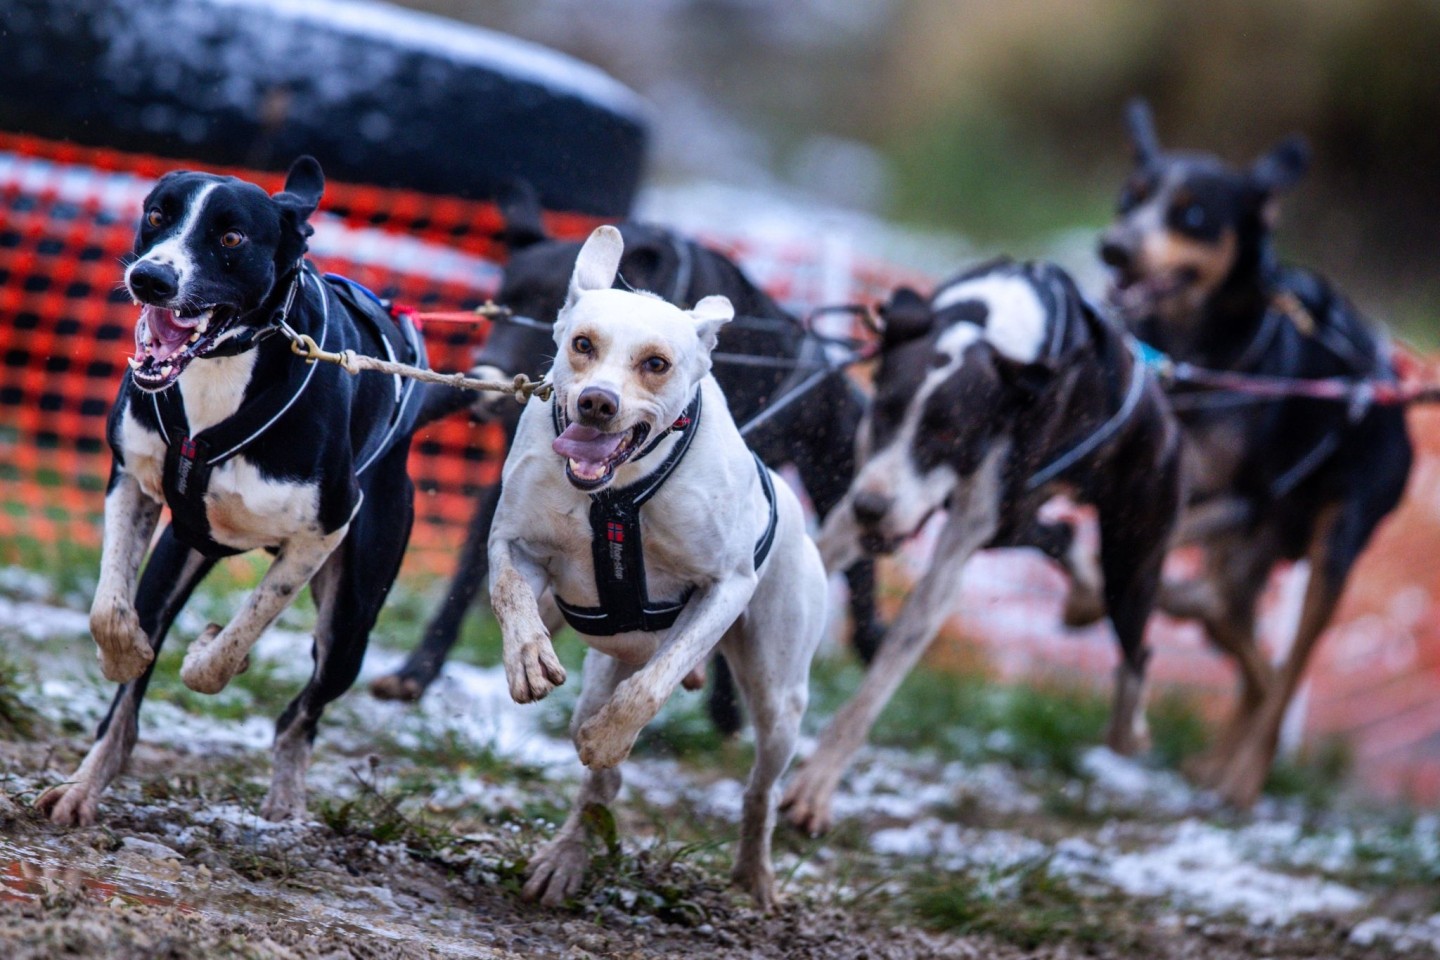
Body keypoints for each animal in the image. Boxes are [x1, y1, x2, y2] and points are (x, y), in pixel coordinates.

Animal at [36, 156, 423, 829]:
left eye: (233, 238)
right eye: (157, 215)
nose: (150, 278)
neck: (221, 373)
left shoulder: (324, 531)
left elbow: (243, 629)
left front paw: (210, 656)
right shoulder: (132, 480)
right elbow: (110, 611)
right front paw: (122, 655)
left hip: (351, 621)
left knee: (303, 711)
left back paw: (287, 798)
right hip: (180, 551)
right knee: (128, 706)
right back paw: (85, 784)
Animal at [486, 225, 829, 909]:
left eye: (656, 363)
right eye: (583, 344)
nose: (597, 403)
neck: (617, 495)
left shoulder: (726, 587)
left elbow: (654, 684)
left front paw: (610, 737)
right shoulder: (515, 541)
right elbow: (510, 591)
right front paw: (529, 660)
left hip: (779, 697)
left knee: (761, 789)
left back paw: (755, 873)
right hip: (605, 668)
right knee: (601, 786)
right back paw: (566, 857)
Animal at [789, 259, 1180, 834]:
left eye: (946, 435)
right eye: (884, 412)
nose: (871, 507)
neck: (986, 326)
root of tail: (1162, 407)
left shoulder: (950, 560)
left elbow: (873, 691)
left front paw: (815, 787)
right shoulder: (857, 499)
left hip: (1131, 557)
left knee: (1138, 648)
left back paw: (1127, 731)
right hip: (1014, 518)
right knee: (1057, 535)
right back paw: (1084, 592)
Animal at [1094, 103, 1411, 811]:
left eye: (1192, 215)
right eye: (1128, 198)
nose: (1114, 247)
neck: (1197, 361)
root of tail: (1392, 385)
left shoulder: (1240, 498)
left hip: (1331, 545)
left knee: (1287, 674)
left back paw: (1242, 779)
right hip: (1243, 565)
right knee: (1253, 664)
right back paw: (1216, 759)